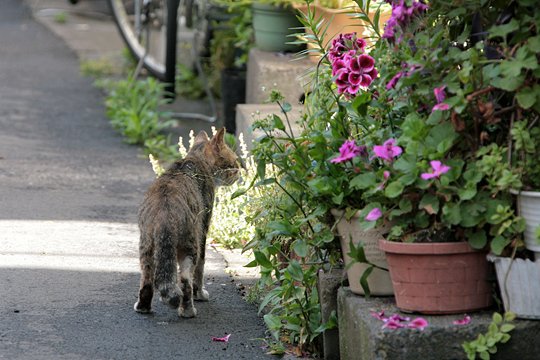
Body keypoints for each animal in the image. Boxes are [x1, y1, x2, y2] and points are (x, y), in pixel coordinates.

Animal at [134, 129, 239, 318]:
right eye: (234, 160)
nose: (241, 170)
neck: (195, 160)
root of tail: (165, 214)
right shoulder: (204, 229)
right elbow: (201, 268)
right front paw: (201, 294)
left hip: (146, 247)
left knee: (147, 279)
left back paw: (143, 307)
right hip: (190, 246)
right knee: (185, 280)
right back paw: (188, 310)